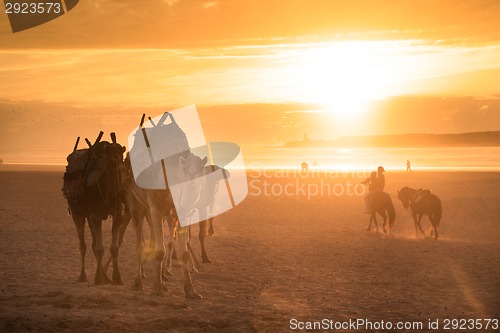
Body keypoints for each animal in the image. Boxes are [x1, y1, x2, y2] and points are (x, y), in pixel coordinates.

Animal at [62, 131, 126, 284]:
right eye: (111, 159)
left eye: (122, 158)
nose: (122, 193)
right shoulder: (95, 214)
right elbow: (99, 249)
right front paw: (98, 278)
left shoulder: (117, 212)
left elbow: (114, 248)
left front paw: (116, 278)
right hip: (76, 213)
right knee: (83, 246)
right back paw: (83, 276)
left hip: (89, 216)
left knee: (92, 243)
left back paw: (105, 276)